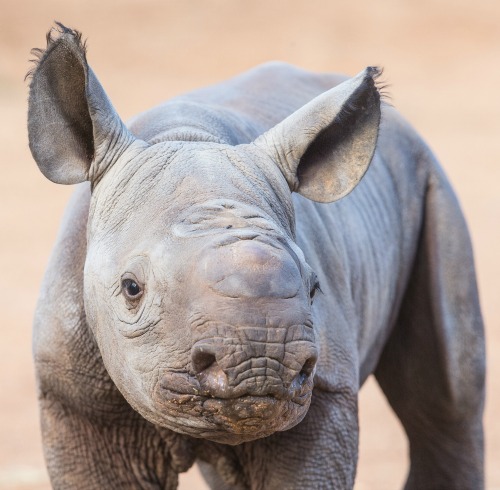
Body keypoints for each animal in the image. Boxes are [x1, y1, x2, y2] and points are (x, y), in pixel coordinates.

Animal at [26, 24, 484, 490]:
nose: (264, 360)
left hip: (429, 176)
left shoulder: (326, 389)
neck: (186, 136)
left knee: (446, 399)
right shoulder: (76, 396)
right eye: (131, 288)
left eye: (315, 288)